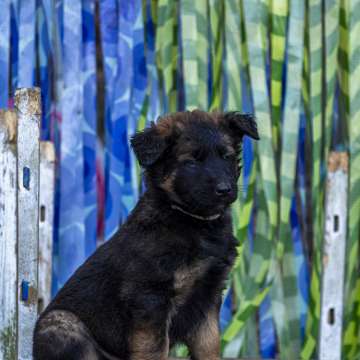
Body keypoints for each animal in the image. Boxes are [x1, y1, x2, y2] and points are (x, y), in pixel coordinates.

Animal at [33, 110, 258, 360]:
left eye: (227, 157)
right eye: (191, 162)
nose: (224, 189)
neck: (190, 220)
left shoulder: (208, 297)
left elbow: (209, 347)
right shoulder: (150, 298)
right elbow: (154, 349)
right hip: (61, 323)